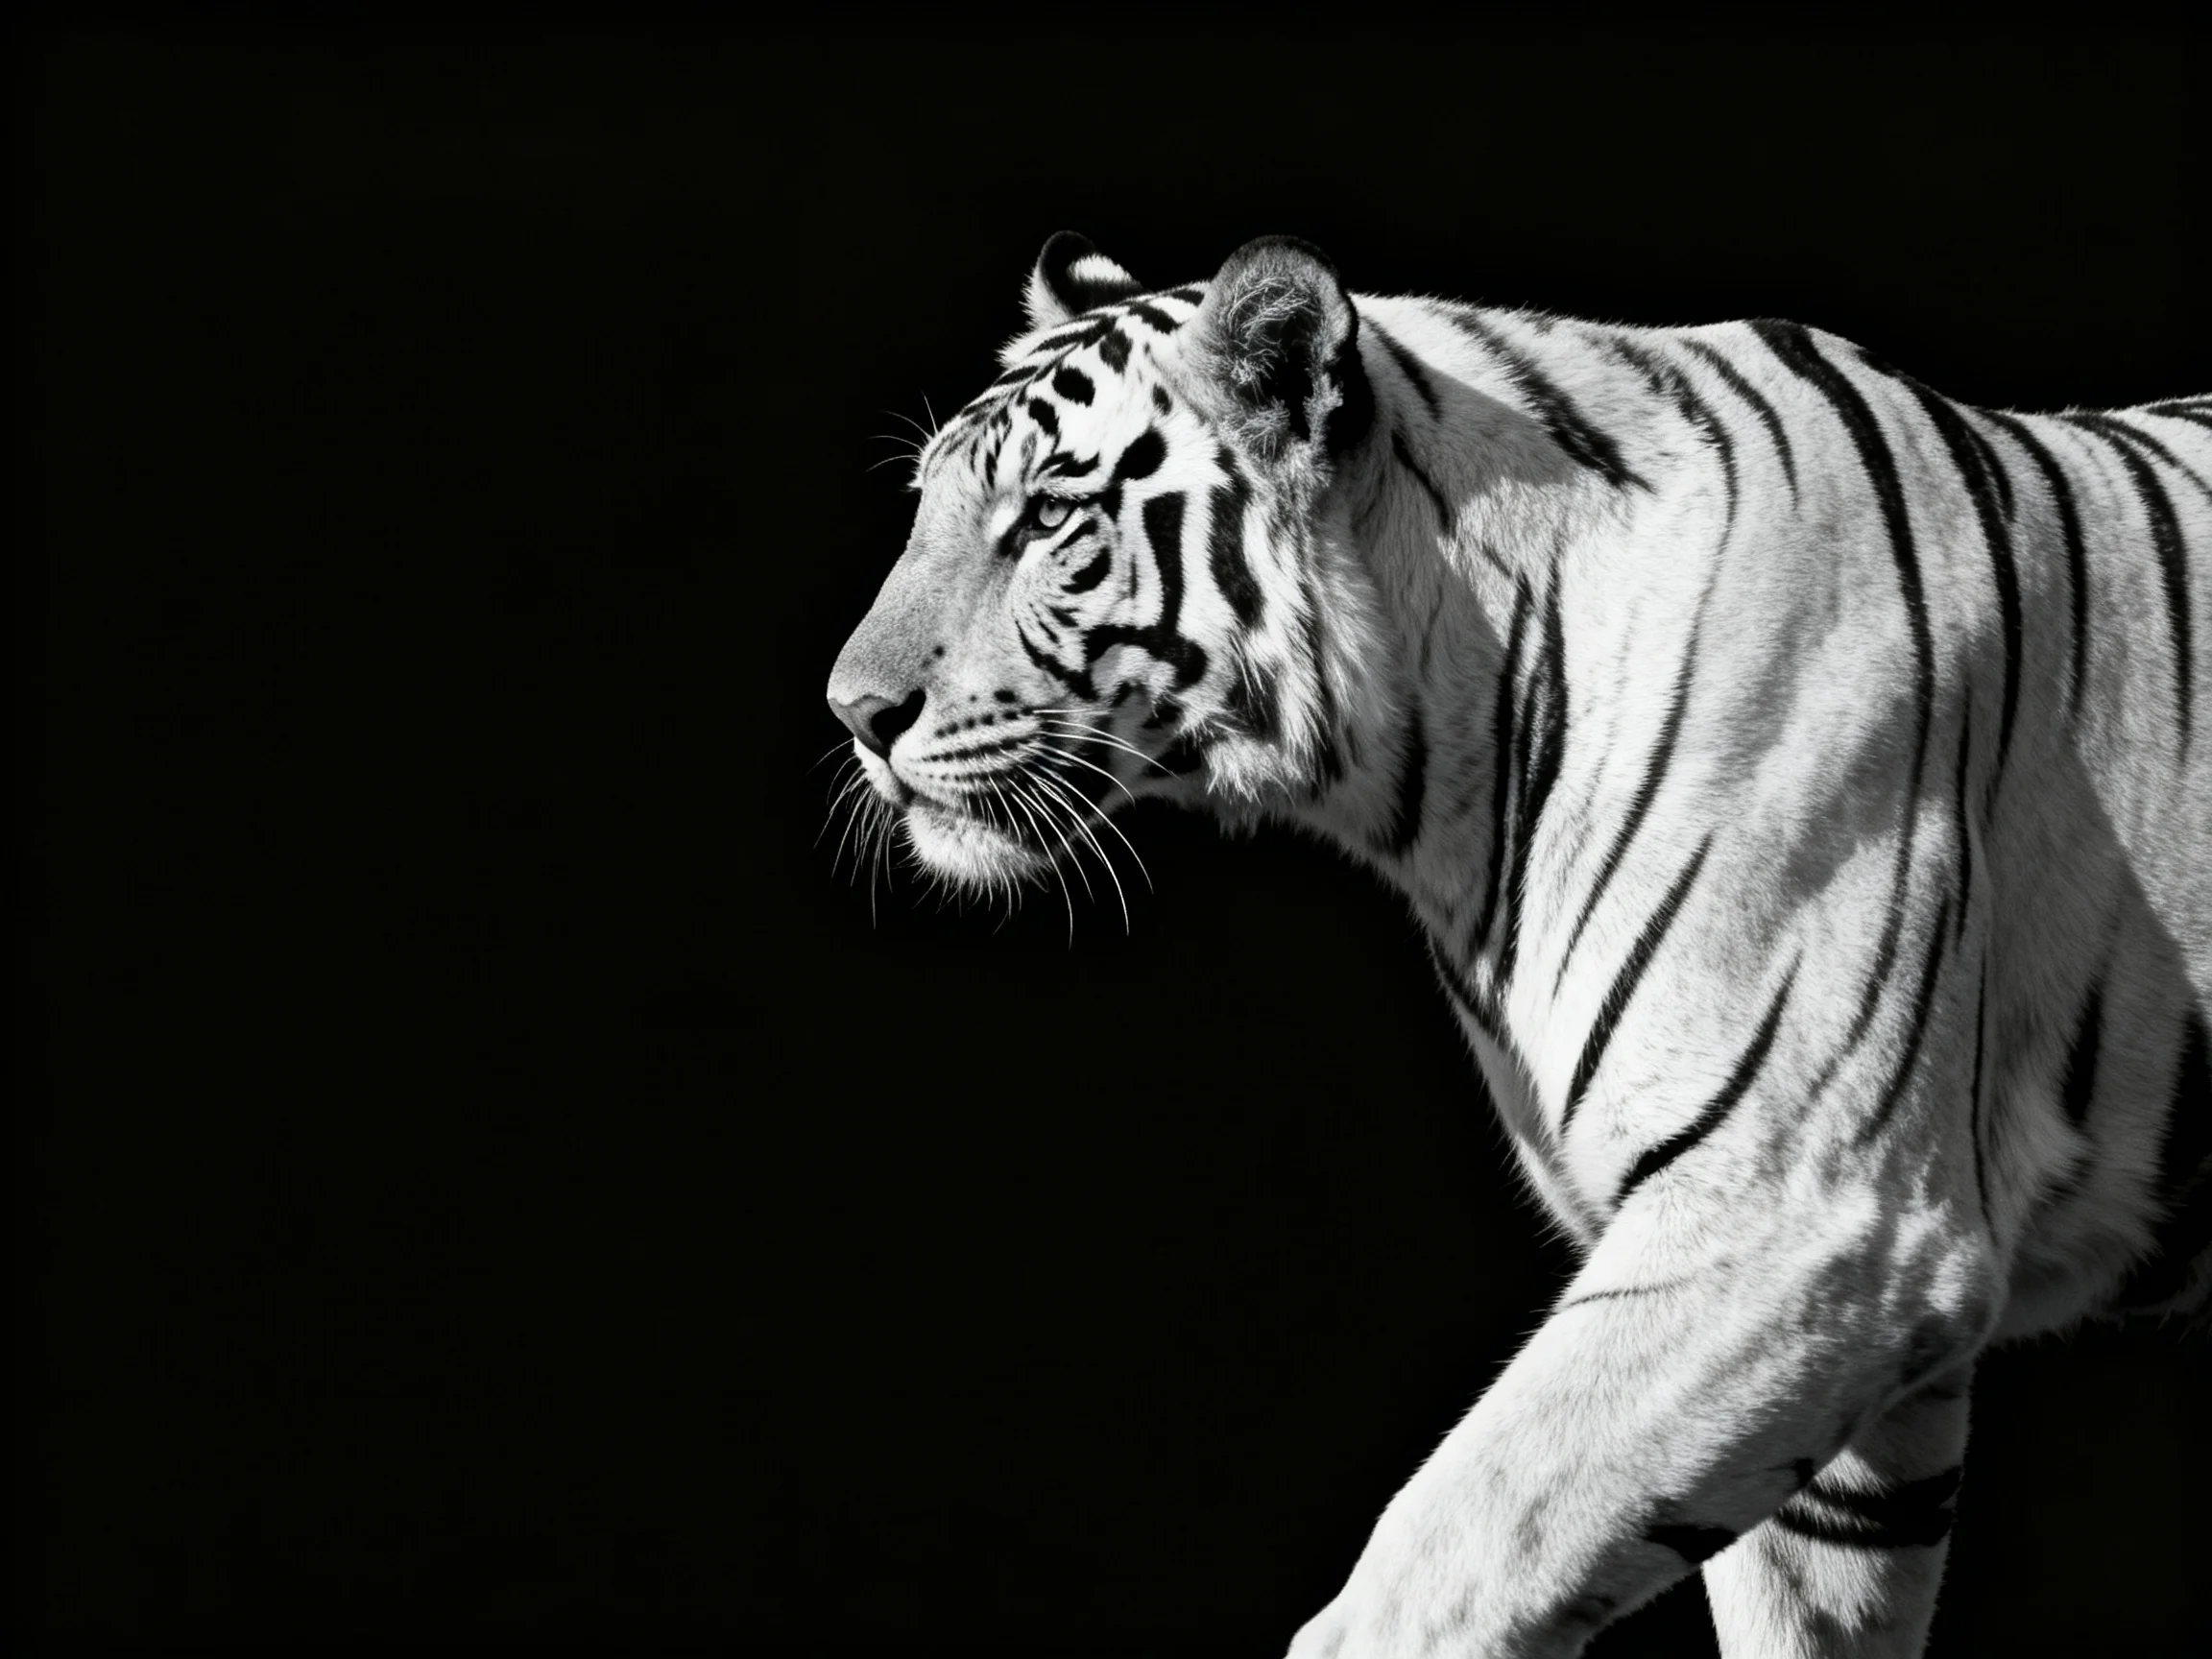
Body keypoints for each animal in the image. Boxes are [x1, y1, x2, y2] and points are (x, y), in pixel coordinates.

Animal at [823, 231, 2210, 1658]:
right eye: (930, 506)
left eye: (1050, 517)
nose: (855, 713)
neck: (1440, 767)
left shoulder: (1809, 1219)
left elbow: (1464, 1546)